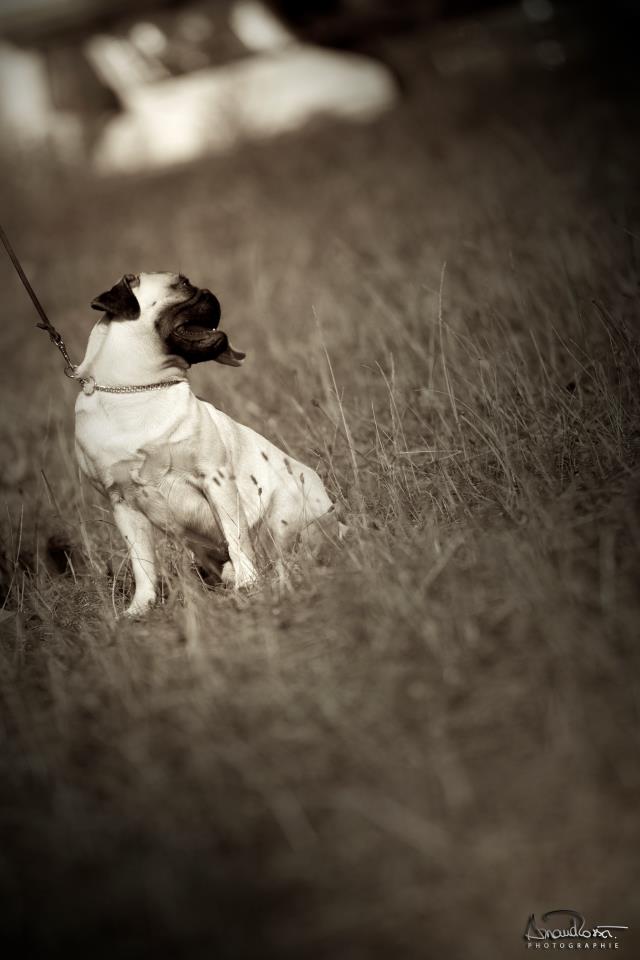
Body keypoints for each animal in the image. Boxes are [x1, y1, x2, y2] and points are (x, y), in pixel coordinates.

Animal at [74, 272, 336, 616]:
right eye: (183, 285)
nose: (209, 291)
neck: (137, 390)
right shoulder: (122, 502)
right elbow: (142, 564)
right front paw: (141, 608)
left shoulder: (216, 479)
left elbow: (236, 537)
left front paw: (248, 582)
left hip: (281, 516)